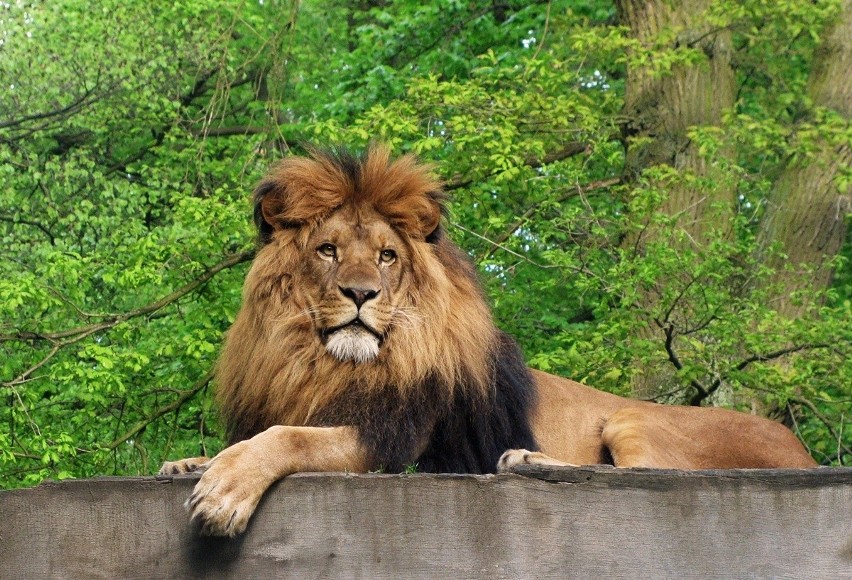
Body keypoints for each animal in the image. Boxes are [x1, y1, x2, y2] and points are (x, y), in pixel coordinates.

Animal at [160, 145, 820, 536]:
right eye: (327, 250)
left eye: (387, 256)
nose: (360, 294)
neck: (324, 362)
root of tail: (808, 455)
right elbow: (253, 436)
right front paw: (192, 461)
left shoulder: (396, 442)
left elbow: (287, 437)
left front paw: (223, 490)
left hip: (631, 420)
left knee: (653, 475)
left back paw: (526, 460)